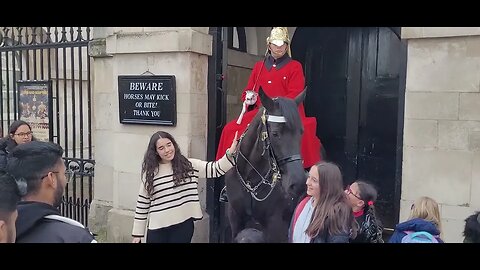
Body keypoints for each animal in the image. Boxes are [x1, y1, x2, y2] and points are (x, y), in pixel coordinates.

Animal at [226, 87, 308, 243]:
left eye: (301, 132)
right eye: (275, 133)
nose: (298, 183)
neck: (250, 178)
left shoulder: (275, 224)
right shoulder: (235, 218)